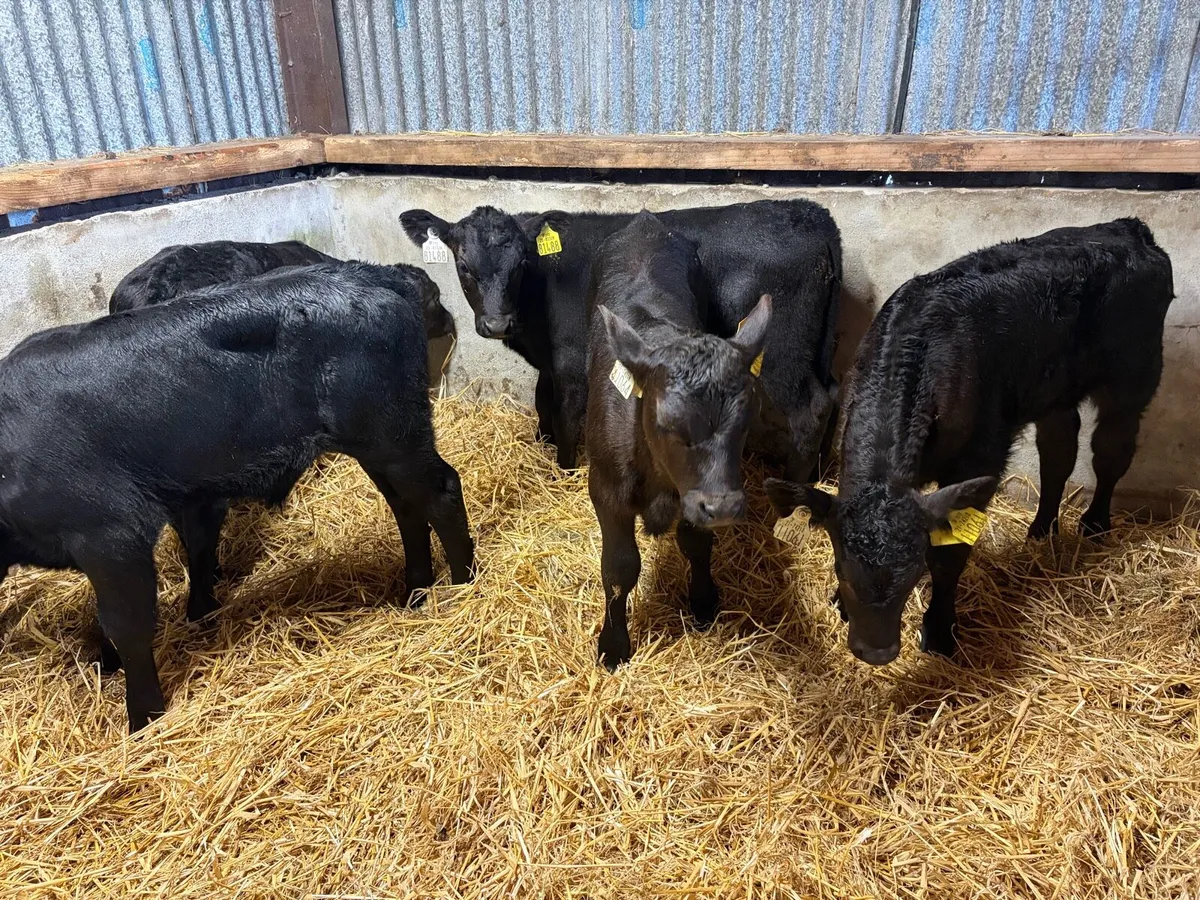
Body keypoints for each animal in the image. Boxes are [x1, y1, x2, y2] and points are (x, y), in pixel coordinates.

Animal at [0, 265, 474, 731]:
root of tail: (378, 275)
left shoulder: (112, 532)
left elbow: (126, 624)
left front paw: (143, 720)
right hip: (379, 443)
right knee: (406, 506)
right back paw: (414, 591)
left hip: (392, 434)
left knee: (443, 492)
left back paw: (463, 584)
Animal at [400, 200, 840, 478]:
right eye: (463, 265)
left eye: (522, 263)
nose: (497, 323)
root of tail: (812, 213)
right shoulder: (551, 361)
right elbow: (542, 400)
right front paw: (542, 444)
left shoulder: (572, 361)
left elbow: (564, 414)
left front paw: (563, 470)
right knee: (834, 393)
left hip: (783, 348)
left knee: (811, 408)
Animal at [585, 213, 771, 669]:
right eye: (666, 421)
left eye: (747, 419)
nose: (724, 508)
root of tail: (644, 220)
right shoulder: (605, 488)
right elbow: (619, 568)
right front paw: (613, 644)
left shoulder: (696, 494)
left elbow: (697, 544)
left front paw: (703, 603)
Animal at [766, 218, 1174, 666]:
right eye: (842, 569)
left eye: (913, 575)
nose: (876, 652)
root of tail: (1129, 229)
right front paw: (840, 603)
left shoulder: (980, 461)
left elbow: (949, 558)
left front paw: (940, 630)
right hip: (1053, 392)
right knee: (1058, 451)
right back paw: (1042, 529)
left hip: (1133, 376)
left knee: (1111, 451)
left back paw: (1095, 523)